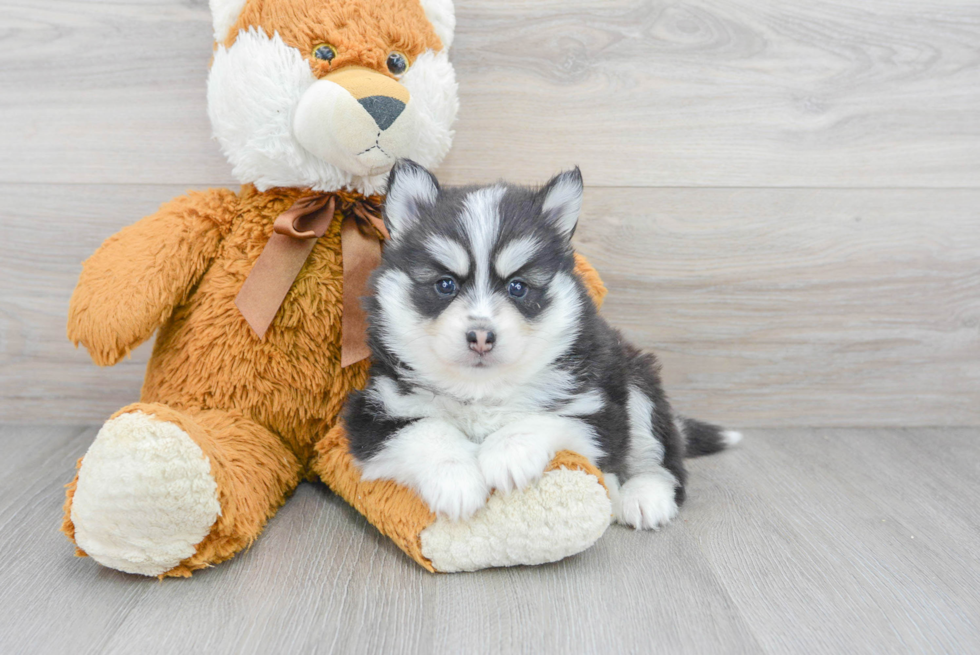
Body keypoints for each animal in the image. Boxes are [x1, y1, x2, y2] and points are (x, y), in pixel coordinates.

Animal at [344, 161, 744, 532]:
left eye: (518, 287)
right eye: (445, 285)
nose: (481, 336)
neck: (482, 390)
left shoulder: (595, 407)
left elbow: (544, 418)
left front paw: (506, 454)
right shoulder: (373, 412)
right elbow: (428, 430)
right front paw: (456, 480)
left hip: (635, 377)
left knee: (662, 460)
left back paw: (643, 496)